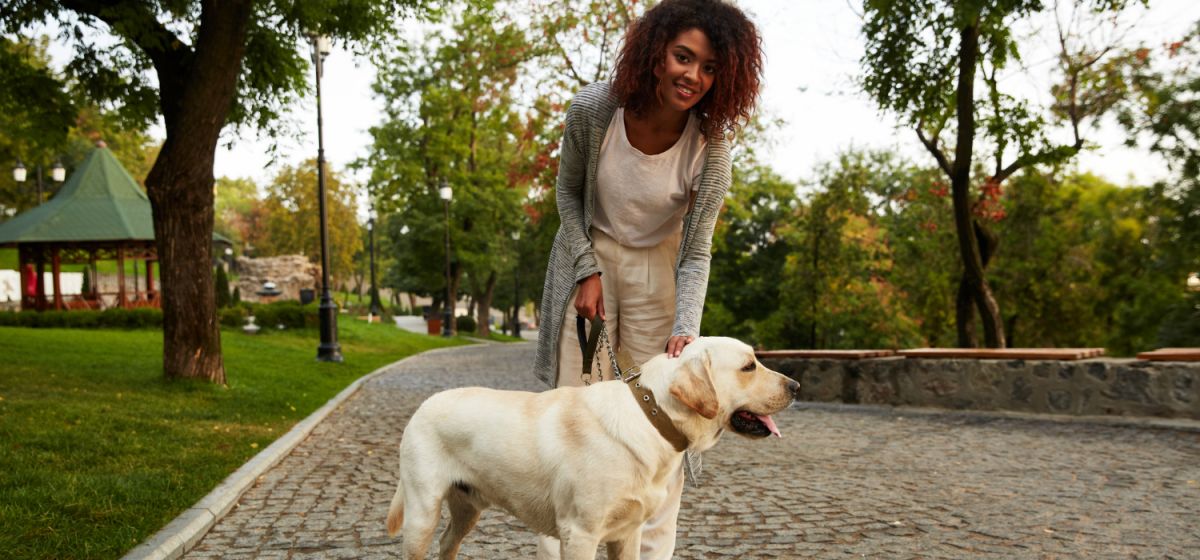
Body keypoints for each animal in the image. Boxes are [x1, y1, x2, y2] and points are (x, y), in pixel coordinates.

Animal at [384, 335, 796, 558]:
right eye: (748, 366)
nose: (795, 386)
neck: (651, 416)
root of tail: (422, 406)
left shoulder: (628, 533)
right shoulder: (580, 533)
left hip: (468, 507)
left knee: (447, 544)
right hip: (422, 512)